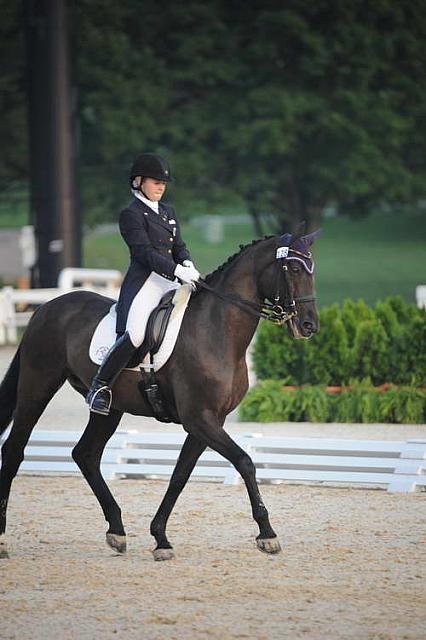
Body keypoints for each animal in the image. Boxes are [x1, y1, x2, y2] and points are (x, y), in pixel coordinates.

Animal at [0, 230, 320, 560]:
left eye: (312, 270)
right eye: (293, 269)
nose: (309, 325)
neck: (217, 330)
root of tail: (45, 308)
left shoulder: (208, 422)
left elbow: (180, 475)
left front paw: (160, 537)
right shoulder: (200, 419)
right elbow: (245, 462)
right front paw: (267, 535)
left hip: (109, 408)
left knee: (85, 454)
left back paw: (117, 531)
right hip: (37, 388)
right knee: (13, 450)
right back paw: (3, 540)